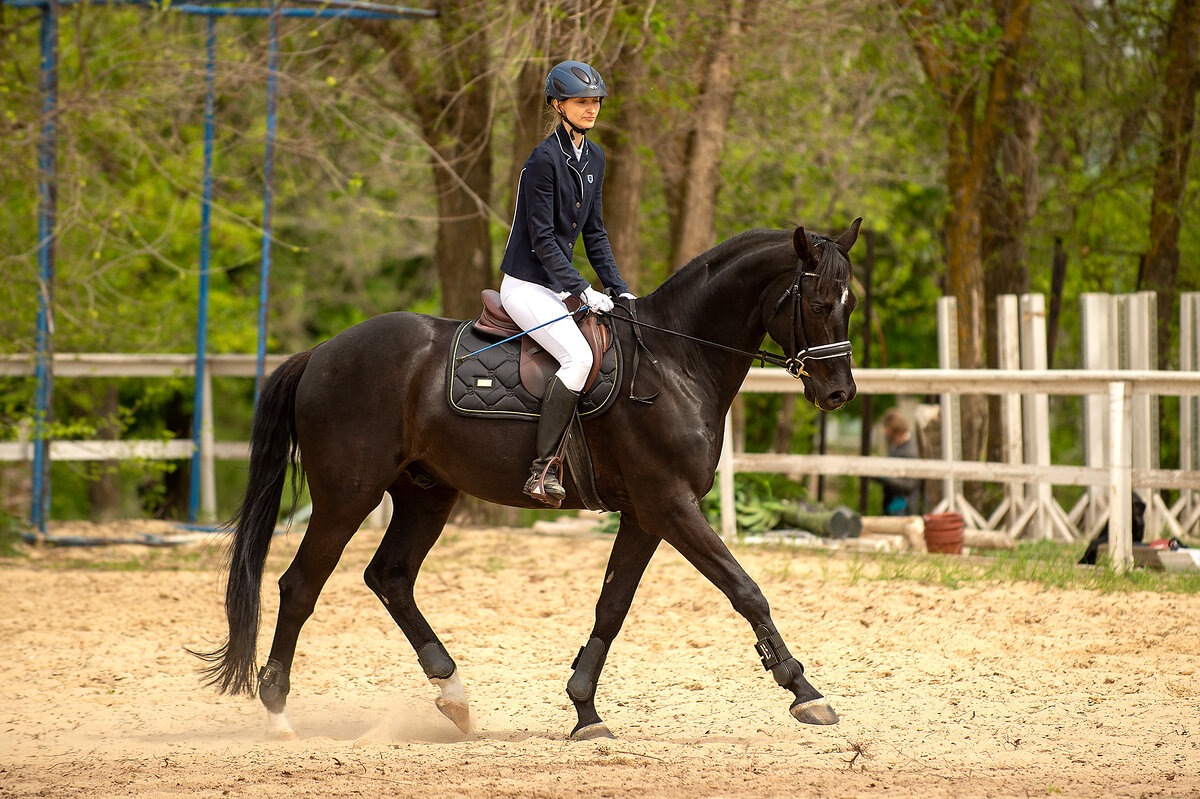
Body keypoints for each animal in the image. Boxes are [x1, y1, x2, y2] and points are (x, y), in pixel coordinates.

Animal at [194, 219, 864, 739]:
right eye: (817, 303)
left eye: (849, 303)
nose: (839, 394)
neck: (676, 363)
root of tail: (324, 353)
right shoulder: (671, 506)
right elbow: (745, 590)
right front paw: (806, 693)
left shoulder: (646, 514)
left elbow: (612, 607)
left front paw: (585, 710)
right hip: (345, 496)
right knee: (300, 586)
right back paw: (279, 715)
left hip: (425, 494)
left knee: (390, 577)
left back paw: (454, 695)